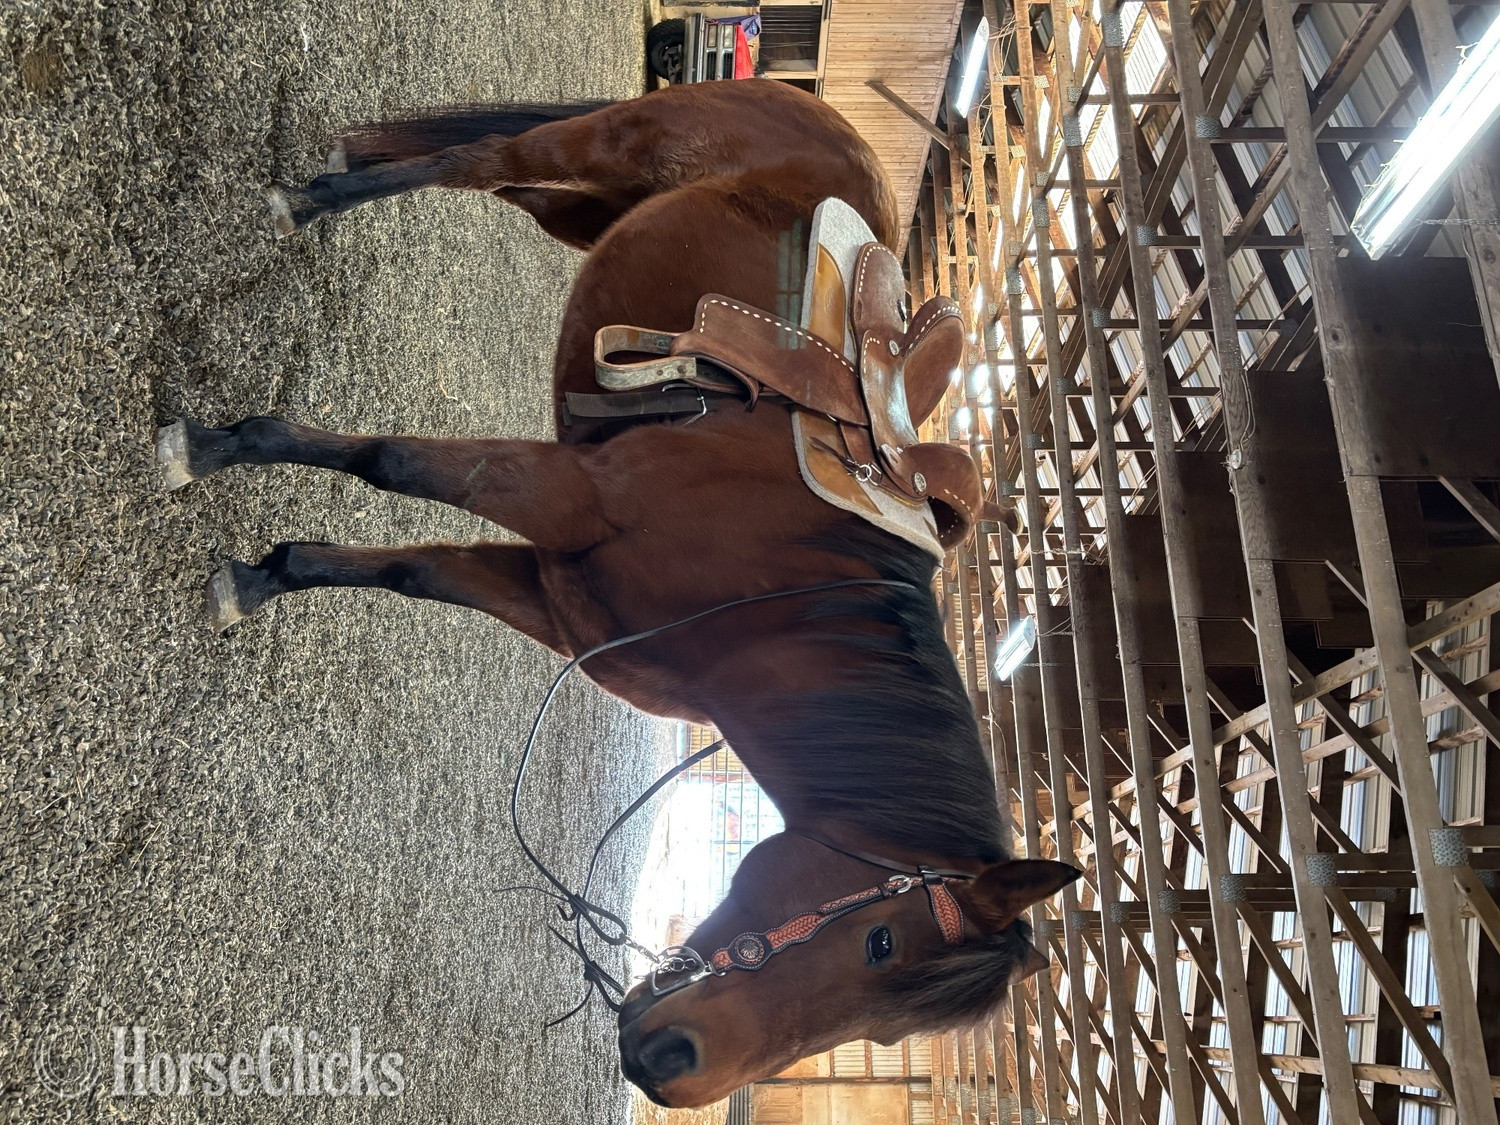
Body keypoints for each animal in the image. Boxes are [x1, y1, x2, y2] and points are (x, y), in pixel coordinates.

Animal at [158, 79, 1080, 1108]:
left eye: (886, 1032)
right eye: (880, 942)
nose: (672, 1064)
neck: (782, 585)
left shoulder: (558, 594)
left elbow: (412, 570)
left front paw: (262, 575)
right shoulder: (570, 494)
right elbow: (392, 462)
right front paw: (211, 446)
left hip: (586, 212)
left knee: (504, 183)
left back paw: (337, 175)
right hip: (604, 148)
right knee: (483, 161)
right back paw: (311, 201)